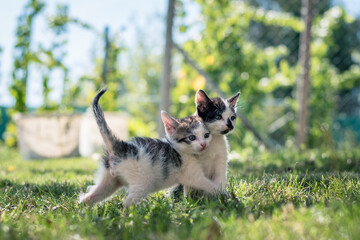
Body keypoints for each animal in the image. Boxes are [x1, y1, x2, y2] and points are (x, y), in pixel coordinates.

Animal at [78, 88, 222, 206]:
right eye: (192, 137)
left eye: (207, 135)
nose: (203, 144)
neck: (182, 150)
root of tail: (120, 146)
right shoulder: (192, 175)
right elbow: (210, 185)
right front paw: (223, 195)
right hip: (142, 181)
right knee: (127, 203)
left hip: (109, 180)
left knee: (88, 197)